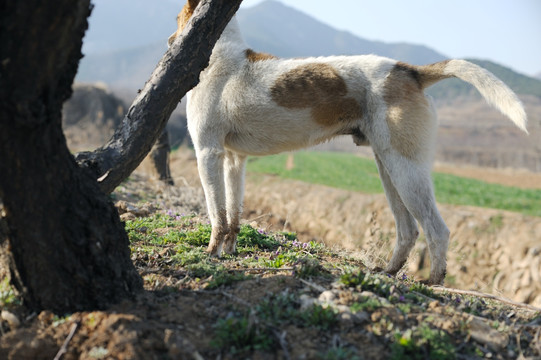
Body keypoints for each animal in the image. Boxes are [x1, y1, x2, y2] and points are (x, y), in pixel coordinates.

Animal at [167, 0, 524, 286]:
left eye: (176, 17)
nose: (171, 43)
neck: (223, 59)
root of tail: (409, 71)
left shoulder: (207, 153)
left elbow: (216, 214)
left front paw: (212, 252)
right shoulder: (233, 161)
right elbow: (233, 216)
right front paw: (229, 251)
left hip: (406, 170)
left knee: (437, 229)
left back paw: (434, 282)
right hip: (388, 168)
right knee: (408, 230)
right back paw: (389, 272)